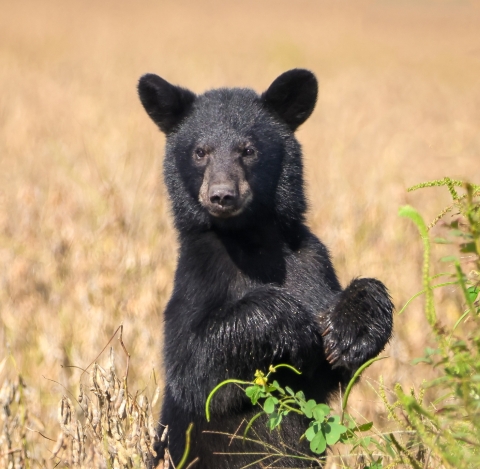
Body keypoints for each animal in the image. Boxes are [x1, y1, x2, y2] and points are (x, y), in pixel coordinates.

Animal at [137, 67, 392, 466]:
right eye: (200, 152)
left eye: (248, 150)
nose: (222, 195)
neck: (248, 241)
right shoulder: (198, 272)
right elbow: (192, 367)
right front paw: (289, 323)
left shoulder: (310, 263)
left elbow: (335, 369)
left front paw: (351, 332)